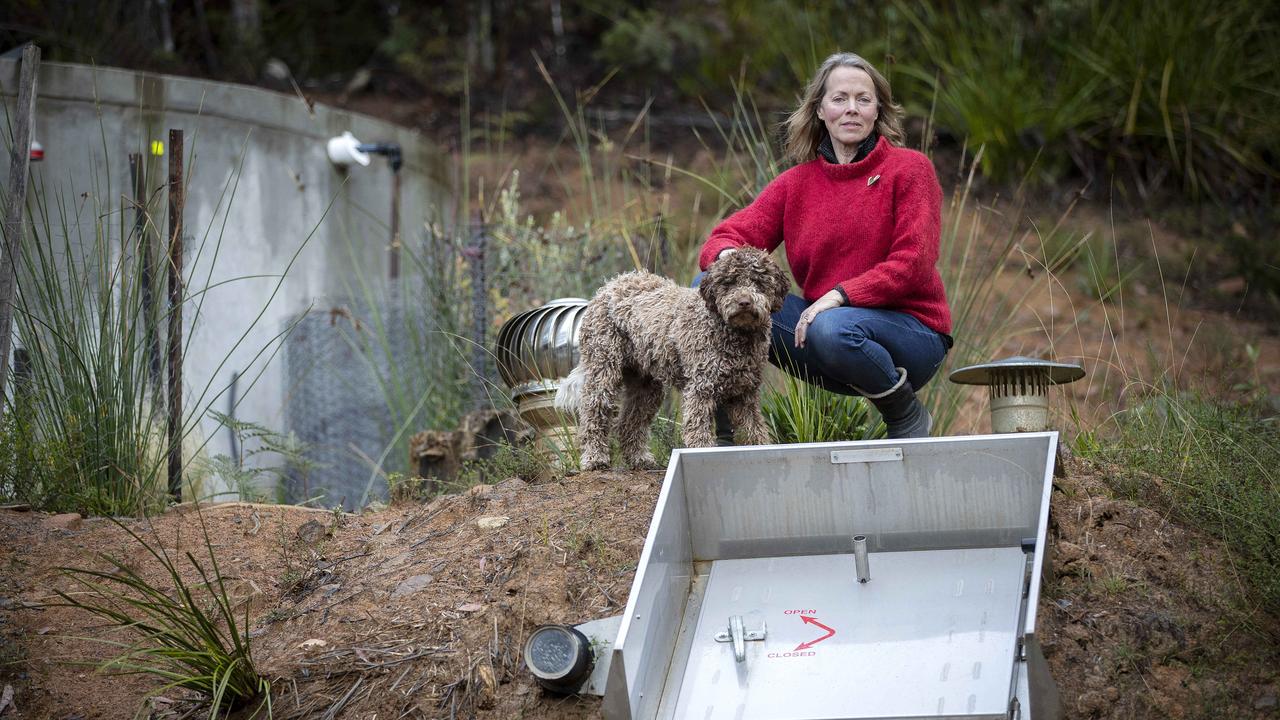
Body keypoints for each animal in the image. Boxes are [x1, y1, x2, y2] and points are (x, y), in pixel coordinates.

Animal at [558, 245, 788, 471]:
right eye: (729, 283)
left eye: (758, 282)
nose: (744, 302)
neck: (733, 333)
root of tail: (609, 286)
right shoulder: (700, 390)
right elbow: (698, 431)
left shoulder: (745, 393)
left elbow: (754, 429)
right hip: (604, 368)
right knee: (593, 411)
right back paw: (594, 457)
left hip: (645, 385)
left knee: (629, 422)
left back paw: (638, 458)